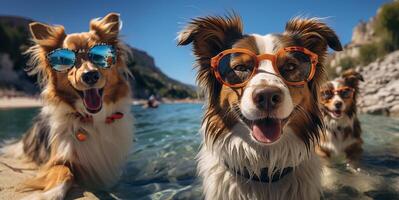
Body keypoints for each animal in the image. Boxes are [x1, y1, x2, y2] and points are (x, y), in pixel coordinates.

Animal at [0, 12, 134, 200]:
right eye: (65, 60)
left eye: (99, 56)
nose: (90, 76)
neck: (92, 120)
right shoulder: (54, 161)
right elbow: (64, 172)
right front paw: (47, 195)